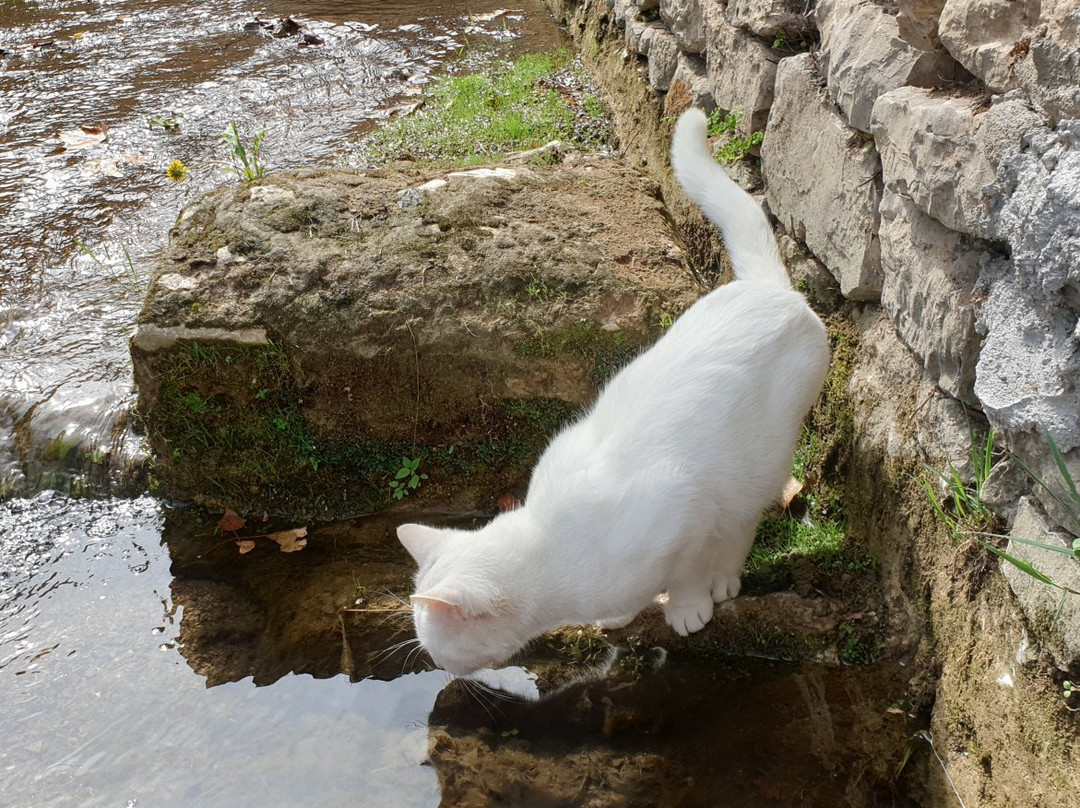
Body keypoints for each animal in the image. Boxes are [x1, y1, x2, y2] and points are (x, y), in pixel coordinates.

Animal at [397, 107, 825, 674]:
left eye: (436, 649)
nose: (438, 668)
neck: (552, 557)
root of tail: (769, 289)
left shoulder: (683, 514)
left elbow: (687, 571)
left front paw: (687, 607)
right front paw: (620, 615)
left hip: (760, 461)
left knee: (743, 521)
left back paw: (724, 579)